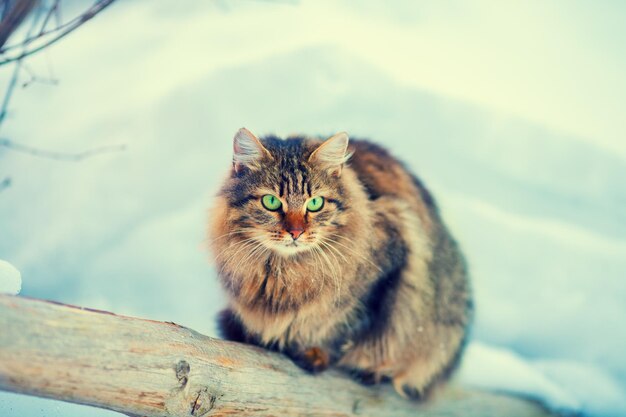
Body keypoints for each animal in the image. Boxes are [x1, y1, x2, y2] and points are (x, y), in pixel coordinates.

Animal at [207, 127, 470, 400]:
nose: (296, 232)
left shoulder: (382, 273)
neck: (284, 272)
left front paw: (315, 354)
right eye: (271, 202)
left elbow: (341, 331)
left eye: (315, 203)